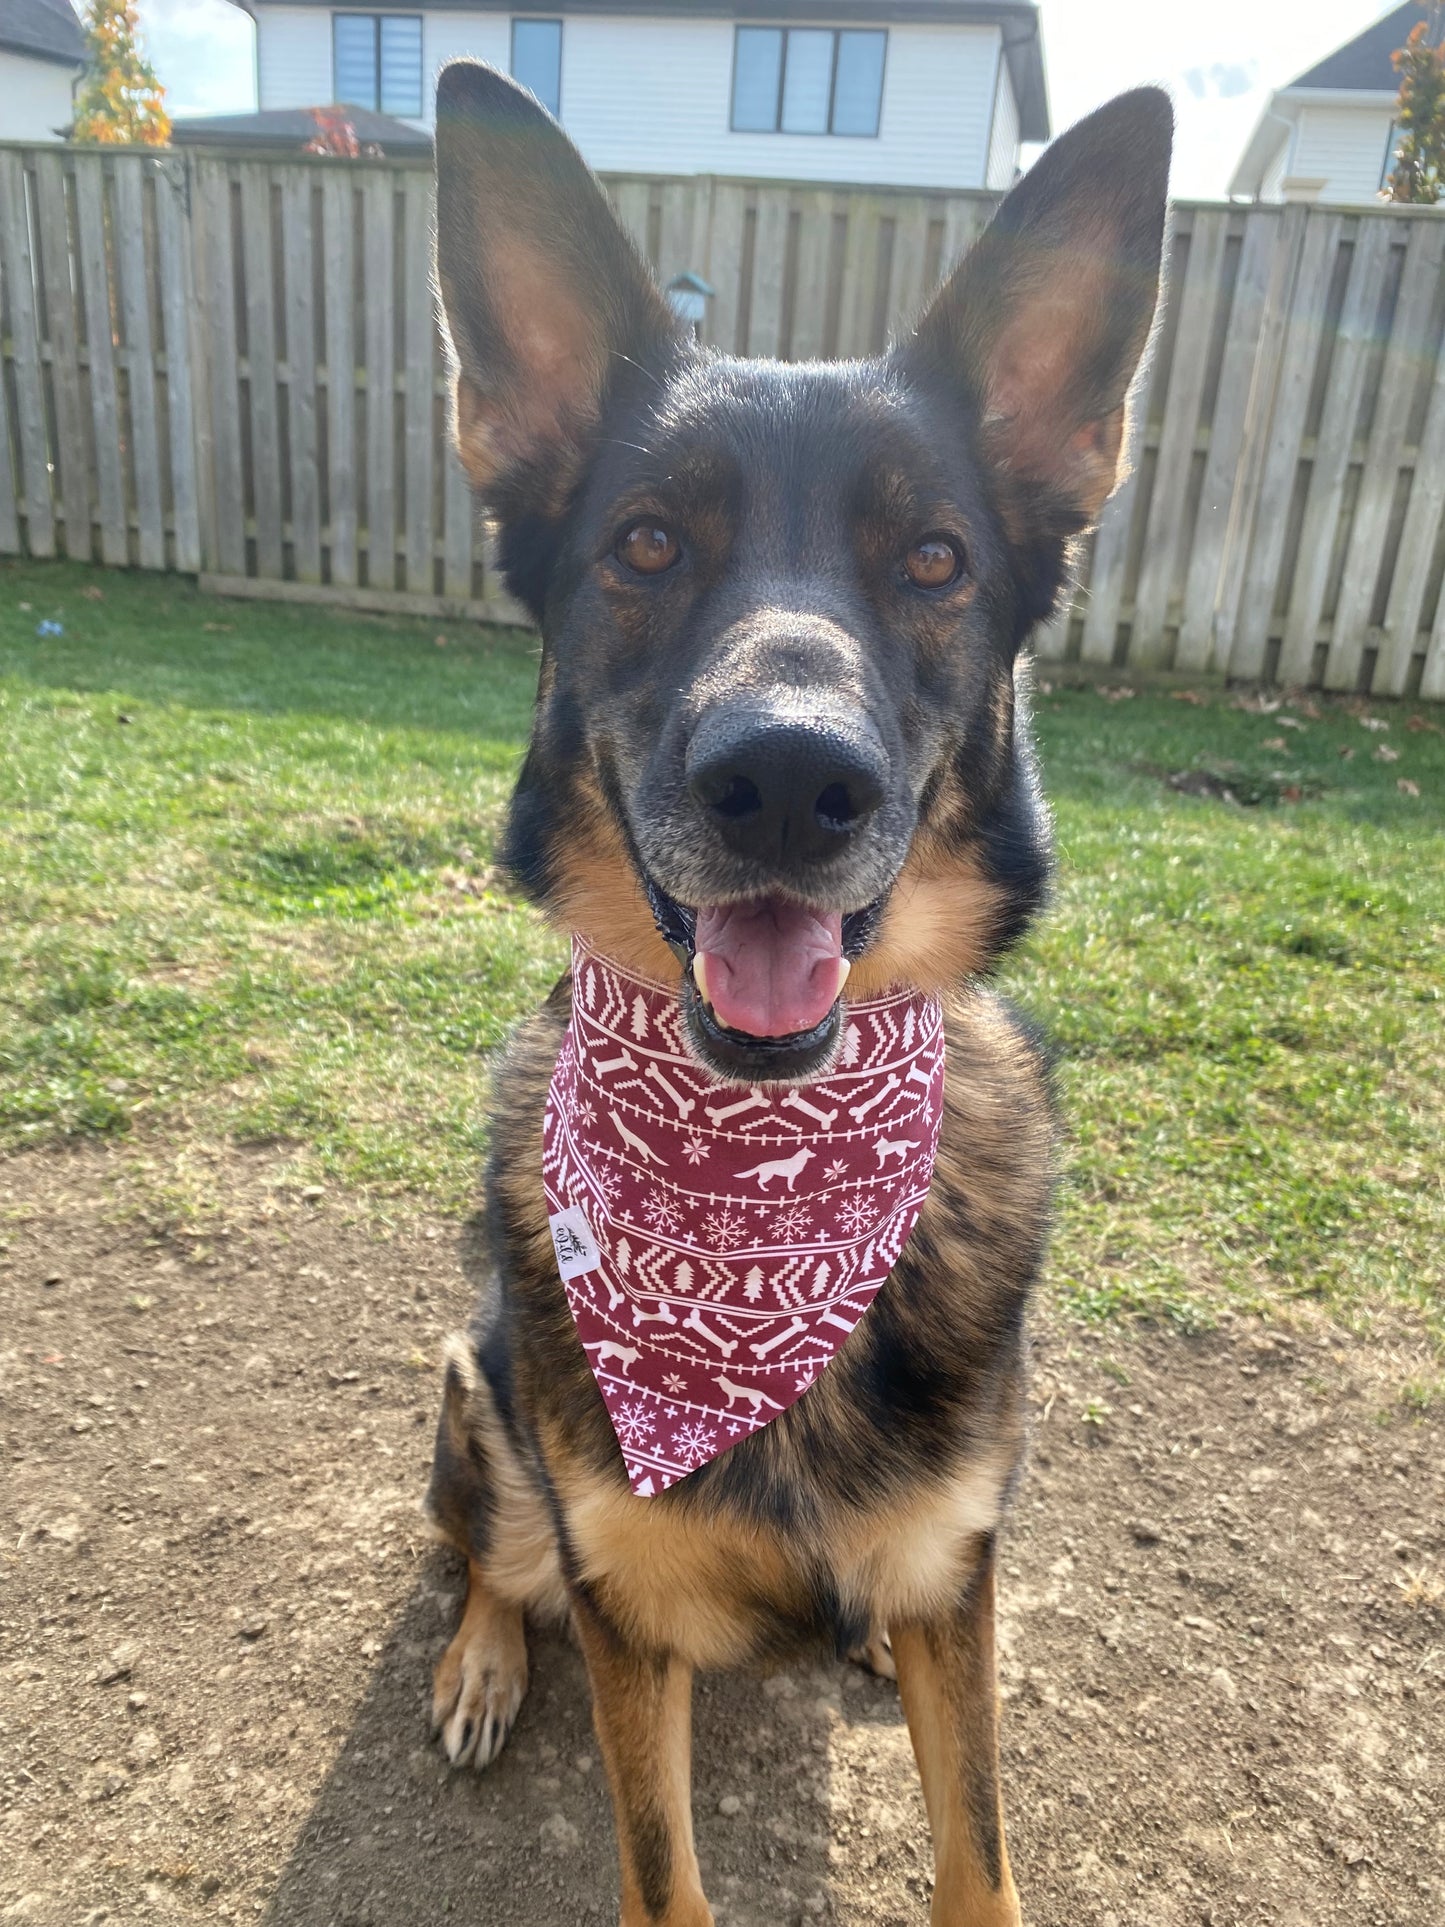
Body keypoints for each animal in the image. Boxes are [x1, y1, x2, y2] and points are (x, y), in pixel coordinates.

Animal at [423, 67, 1171, 1927]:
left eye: (933, 558)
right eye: (644, 543)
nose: (785, 779)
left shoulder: (964, 1576)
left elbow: (980, 1852)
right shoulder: (625, 1611)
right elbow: (662, 1869)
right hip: (477, 1392)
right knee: (490, 1553)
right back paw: (478, 1659)